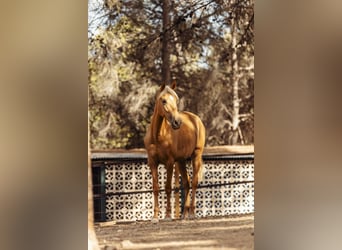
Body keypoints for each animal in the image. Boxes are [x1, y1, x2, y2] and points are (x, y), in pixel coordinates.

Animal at [143, 82, 204, 223]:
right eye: (163, 100)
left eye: (176, 100)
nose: (177, 122)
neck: (157, 136)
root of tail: (196, 119)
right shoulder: (153, 163)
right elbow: (156, 188)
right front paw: (155, 217)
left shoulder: (169, 163)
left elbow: (168, 187)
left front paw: (167, 215)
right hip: (181, 161)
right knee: (187, 183)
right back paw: (184, 215)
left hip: (196, 156)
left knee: (194, 182)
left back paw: (192, 213)